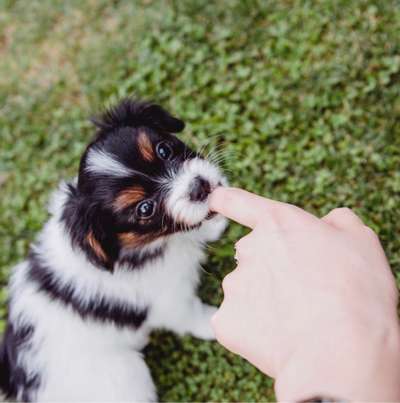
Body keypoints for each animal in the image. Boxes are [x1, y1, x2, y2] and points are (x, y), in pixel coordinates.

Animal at [0, 99, 227, 402]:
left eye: (164, 150)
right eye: (145, 209)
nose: (199, 187)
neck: (143, 245)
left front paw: (215, 224)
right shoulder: (171, 302)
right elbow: (194, 315)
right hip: (127, 377)